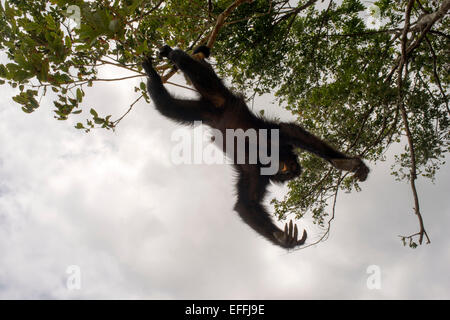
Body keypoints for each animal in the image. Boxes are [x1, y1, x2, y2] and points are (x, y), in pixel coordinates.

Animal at [143, 44, 370, 250]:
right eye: (287, 170)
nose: (288, 170)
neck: (265, 153)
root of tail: (216, 111)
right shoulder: (272, 142)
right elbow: (291, 130)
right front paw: (347, 163)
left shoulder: (256, 173)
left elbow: (246, 205)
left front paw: (285, 239)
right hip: (221, 99)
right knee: (197, 74)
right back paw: (175, 56)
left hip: (205, 111)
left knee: (167, 106)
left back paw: (153, 73)